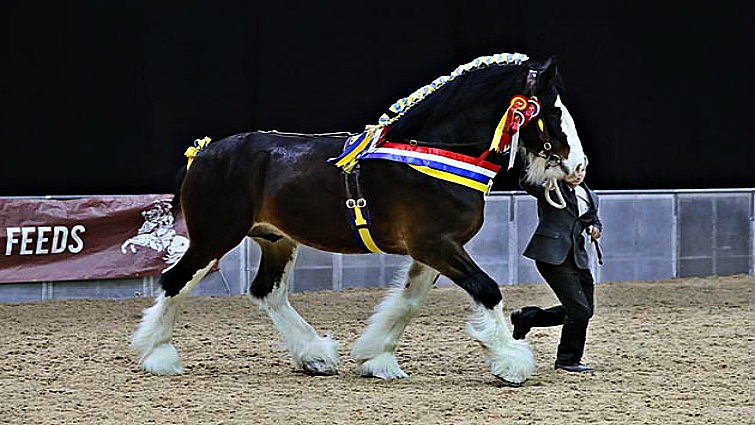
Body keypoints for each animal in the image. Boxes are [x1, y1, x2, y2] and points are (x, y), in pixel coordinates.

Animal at [131, 52, 592, 384]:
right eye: (552, 112)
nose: (579, 167)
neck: (436, 154)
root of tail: (204, 152)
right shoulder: (435, 244)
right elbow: (488, 290)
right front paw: (511, 362)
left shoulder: (431, 251)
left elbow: (407, 303)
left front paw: (377, 358)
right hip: (214, 237)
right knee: (174, 282)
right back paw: (158, 356)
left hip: (275, 239)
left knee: (267, 292)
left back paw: (314, 356)